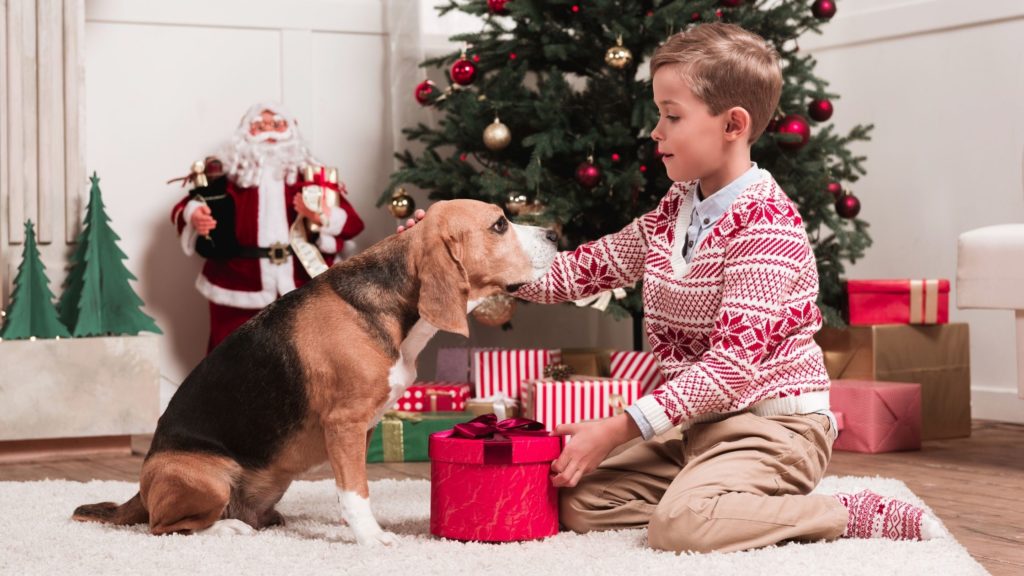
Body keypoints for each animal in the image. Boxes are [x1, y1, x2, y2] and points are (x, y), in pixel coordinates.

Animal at [74, 196, 561, 541]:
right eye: (499, 224)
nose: (556, 232)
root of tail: (140, 488)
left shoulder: (361, 428)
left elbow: (353, 485)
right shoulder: (344, 424)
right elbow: (356, 488)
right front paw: (372, 538)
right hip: (208, 479)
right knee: (164, 526)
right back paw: (228, 527)